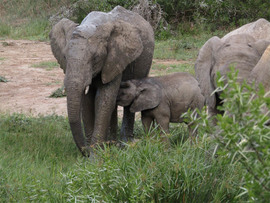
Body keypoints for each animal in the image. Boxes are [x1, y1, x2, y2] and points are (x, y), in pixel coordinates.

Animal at [48, 6, 154, 155]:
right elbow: (87, 100)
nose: (85, 151)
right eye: (65, 57)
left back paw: (125, 143)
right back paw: (112, 143)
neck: (92, 25)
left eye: (95, 58)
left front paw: (96, 155)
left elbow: (103, 98)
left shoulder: (116, 57)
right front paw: (96, 150)